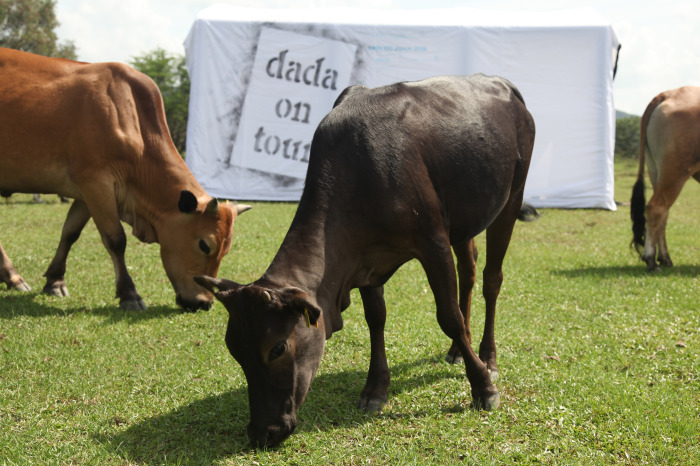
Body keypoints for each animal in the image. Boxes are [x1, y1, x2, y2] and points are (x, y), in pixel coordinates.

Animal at [0, 47, 250, 312]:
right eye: (205, 245)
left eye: (226, 249)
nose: (205, 302)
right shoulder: (95, 181)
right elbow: (115, 239)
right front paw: (129, 293)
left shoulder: (86, 190)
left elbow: (70, 232)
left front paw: (55, 281)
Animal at [197, 74, 536, 446]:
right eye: (234, 351)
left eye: (277, 348)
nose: (262, 432)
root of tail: (503, 84)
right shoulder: (366, 260)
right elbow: (376, 318)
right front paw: (375, 389)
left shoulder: (433, 242)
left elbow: (448, 317)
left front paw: (482, 387)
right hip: (465, 218)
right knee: (470, 270)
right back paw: (457, 351)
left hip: (511, 198)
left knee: (492, 279)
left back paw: (488, 357)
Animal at [628, 85, 700, 272]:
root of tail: (668, 94)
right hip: (675, 172)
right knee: (656, 207)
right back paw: (651, 260)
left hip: (656, 170)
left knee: (663, 212)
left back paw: (665, 258)